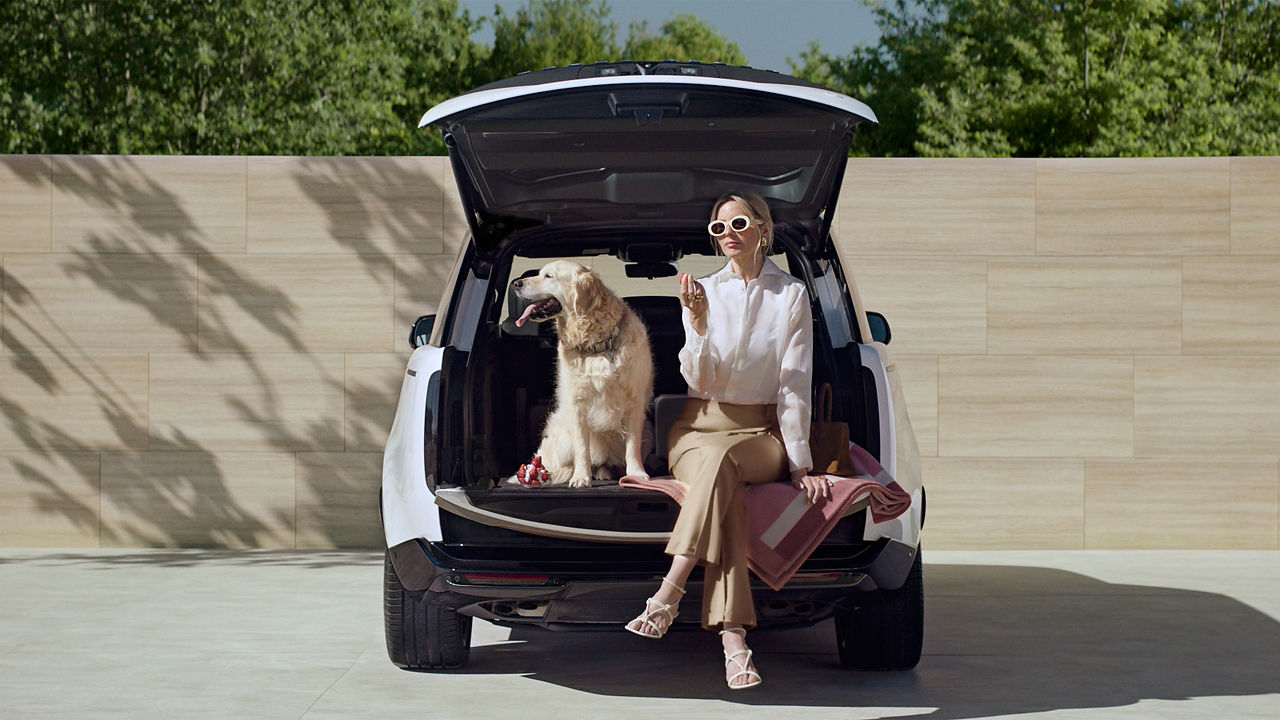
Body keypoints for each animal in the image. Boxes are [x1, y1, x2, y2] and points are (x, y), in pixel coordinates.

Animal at [509, 260, 655, 484]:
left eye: (548, 276)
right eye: (540, 273)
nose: (516, 283)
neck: (598, 344)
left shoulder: (635, 401)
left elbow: (632, 445)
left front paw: (637, 474)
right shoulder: (577, 404)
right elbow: (581, 448)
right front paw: (581, 477)